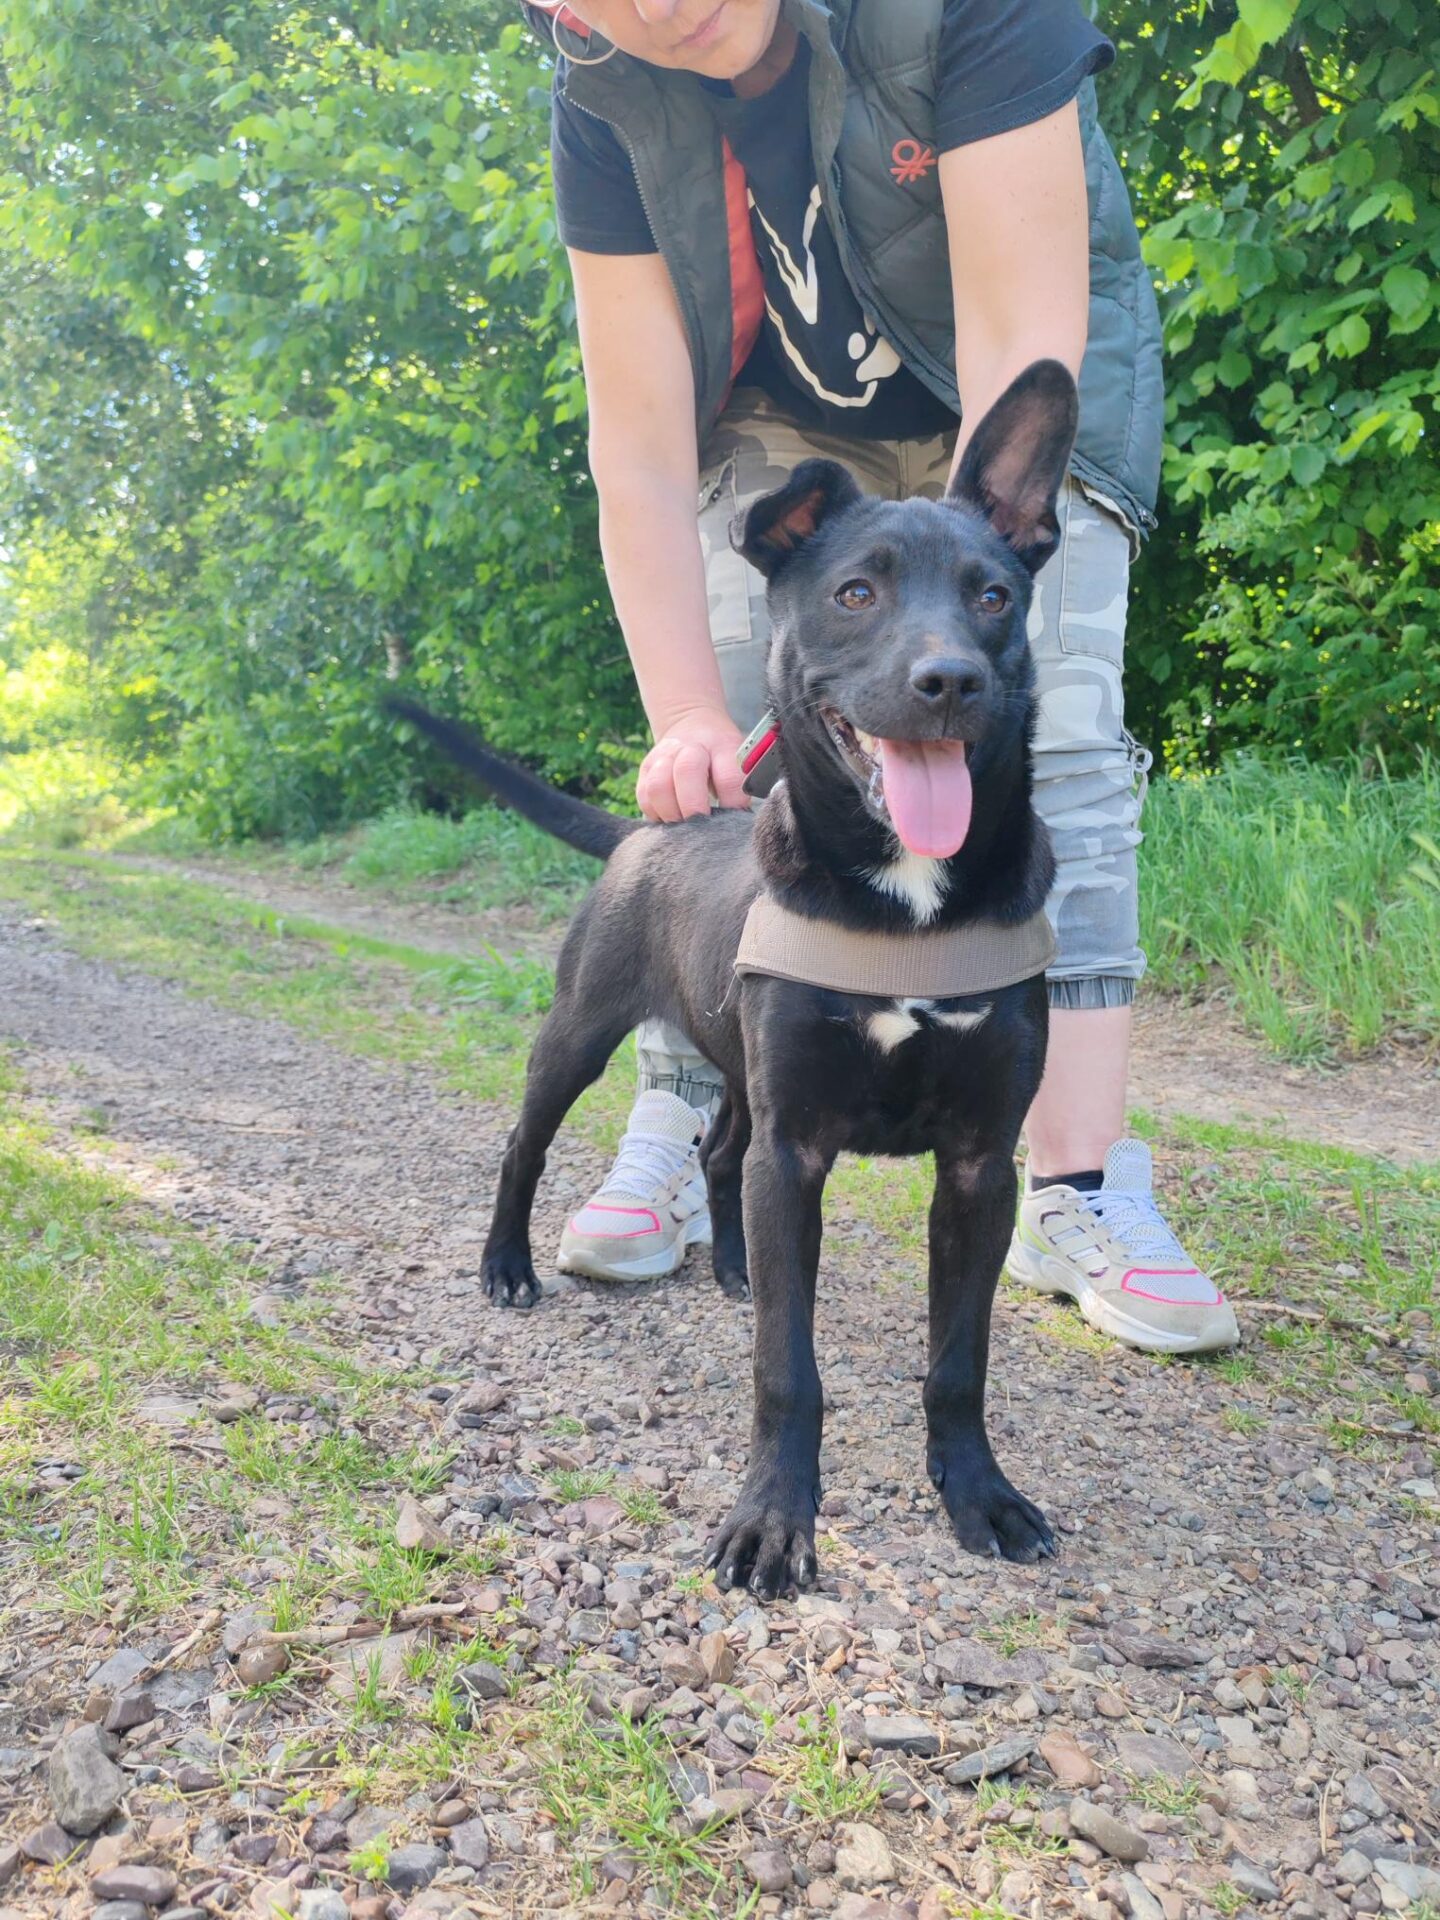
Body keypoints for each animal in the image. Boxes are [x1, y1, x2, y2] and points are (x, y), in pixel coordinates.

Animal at [394, 360, 1078, 1597]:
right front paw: (771, 1521)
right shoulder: (796, 1149)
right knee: (527, 1141)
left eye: (995, 595)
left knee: (718, 1151)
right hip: (582, 1032)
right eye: (856, 594)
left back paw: (735, 1268)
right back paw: (507, 1264)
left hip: (745, 1074)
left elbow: (959, 1361)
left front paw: (980, 1496)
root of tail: (648, 827)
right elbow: (786, 1371)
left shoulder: (976, 1166)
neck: (904, 897)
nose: (948, 679)